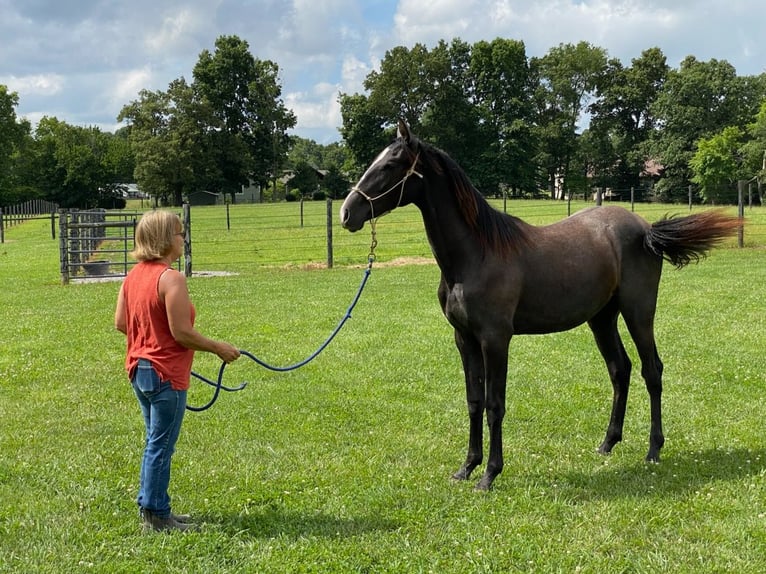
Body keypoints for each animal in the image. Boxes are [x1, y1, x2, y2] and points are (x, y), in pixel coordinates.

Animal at [340, 120, 741, 491]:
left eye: (392, 164)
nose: (347, 213)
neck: (475, 254)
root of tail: (645, 229)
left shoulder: (495, 340)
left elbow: (494, 404)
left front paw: (489, 474)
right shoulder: (464, 339)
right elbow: (473, 401)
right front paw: (466, 467)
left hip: (638, 312)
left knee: (651, 371)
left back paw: (654, 449)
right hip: (602, 318)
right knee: (620, 369)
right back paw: (607, 443)